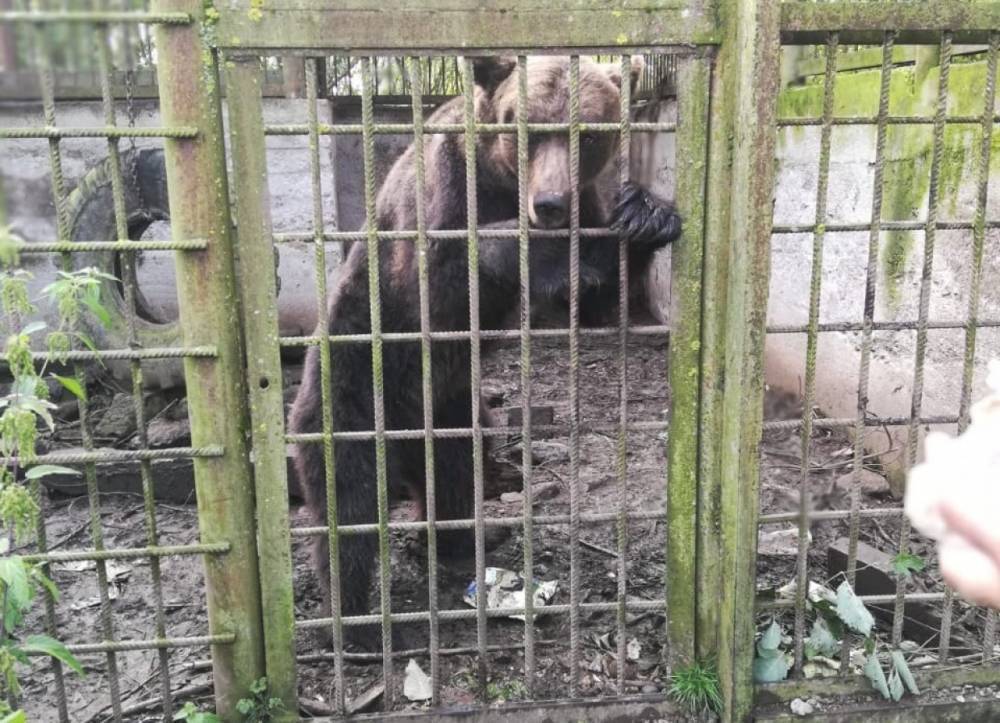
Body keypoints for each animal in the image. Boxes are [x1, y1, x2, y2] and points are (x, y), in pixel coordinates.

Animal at [290, 55, 680, 652]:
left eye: (589, 133)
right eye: (524, 125)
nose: (549, 204)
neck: (502, 184)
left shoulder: (588, 199)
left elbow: (596, 302)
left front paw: (646, 216)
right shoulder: (442, 196)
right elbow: (438, 282)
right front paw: (536, 248)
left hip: (454, 411)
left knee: (456, 472)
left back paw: (463, 542)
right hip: (350, 386)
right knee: (347, 505)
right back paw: (355, 622)